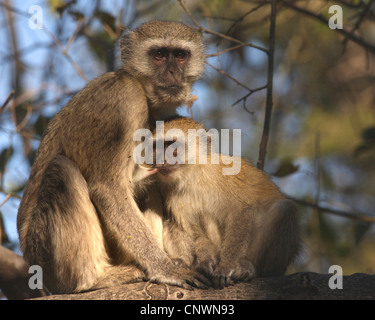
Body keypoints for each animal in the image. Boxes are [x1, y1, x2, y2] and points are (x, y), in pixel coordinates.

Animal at [16, 21, 209, 294]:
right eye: (159, 55)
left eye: (180, 56)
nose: (173, 72)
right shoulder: (126, 100)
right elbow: (107, 188)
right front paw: (167, 269)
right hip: (45, 255)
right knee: (61, 170)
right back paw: (93, 280)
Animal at [138, 117, 302, 290]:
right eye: (157, 148)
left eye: (172, 146)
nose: (161, 159)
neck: (193, 174)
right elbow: (194, 231)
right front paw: (204, 261)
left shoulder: (223, 175)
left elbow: (242, 211)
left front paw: (226, 267)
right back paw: (184, 263)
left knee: (286, 210)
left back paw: (250, 268)